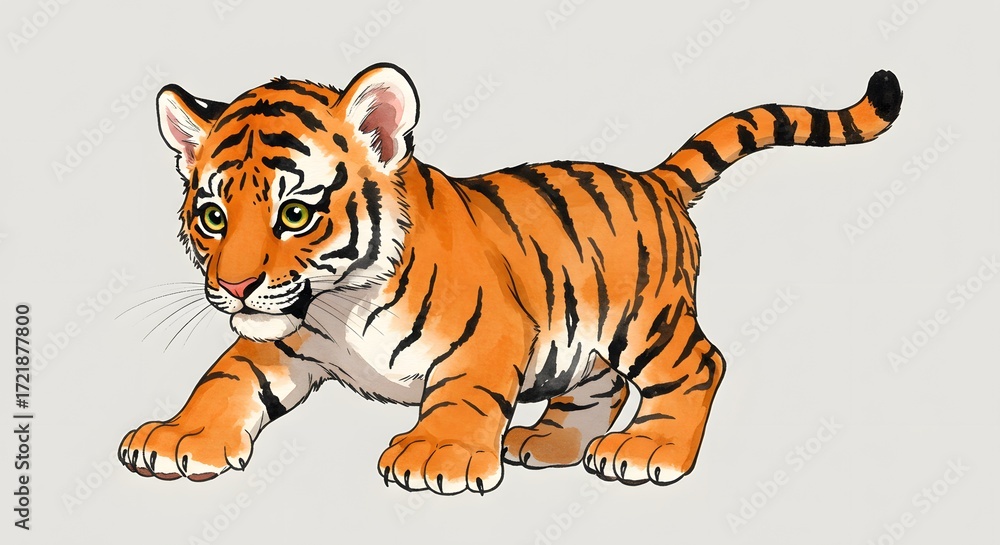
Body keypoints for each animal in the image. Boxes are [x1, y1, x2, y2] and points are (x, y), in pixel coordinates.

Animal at [119, 63, 901, 494]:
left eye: (296, 212)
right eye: (213, 216)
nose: (235, 287)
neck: (339, 304)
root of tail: (654, 179)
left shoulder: (491, 332)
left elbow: (464, 394)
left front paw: (436, 454)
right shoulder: (281, 339)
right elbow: (224, 378)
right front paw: (177, 438)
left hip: (647, 322)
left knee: (699, 364)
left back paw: (647, 450)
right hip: (584, 341)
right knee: (601, 386)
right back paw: (546, 444)